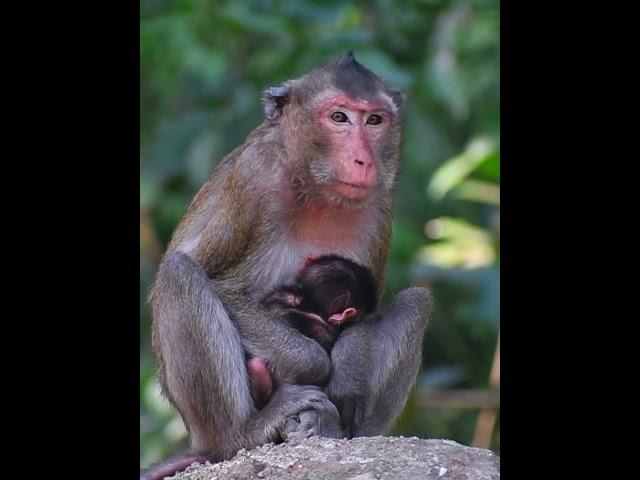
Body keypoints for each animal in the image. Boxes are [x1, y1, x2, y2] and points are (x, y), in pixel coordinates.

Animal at [143, 51, 432, 480]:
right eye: (339, 117)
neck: (313, 187)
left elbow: (367, 313)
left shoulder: (380, 208)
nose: (363, 160)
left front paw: (347, 368)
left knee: (417, 302)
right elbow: (219, 284)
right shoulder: (253, 180)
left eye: (374, 120)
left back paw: (342, 430)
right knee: (179, 275)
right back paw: (244, 432)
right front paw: (314, 364)